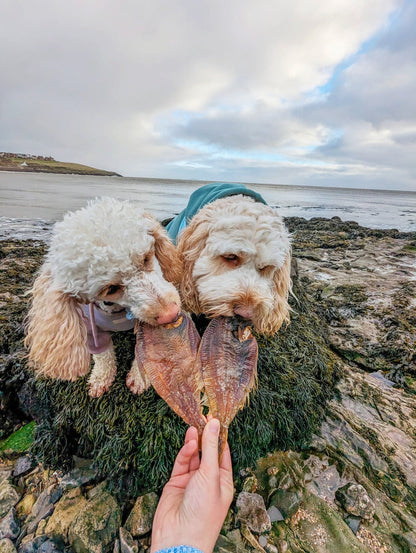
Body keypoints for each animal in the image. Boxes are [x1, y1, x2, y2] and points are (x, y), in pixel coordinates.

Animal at [25, 196, 181, 394]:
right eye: (111, 289)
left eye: (146, 258)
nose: (171, 314)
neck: (118, 311)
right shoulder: (91, 328)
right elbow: (102, 355)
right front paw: (101, 377)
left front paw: (140, 377)